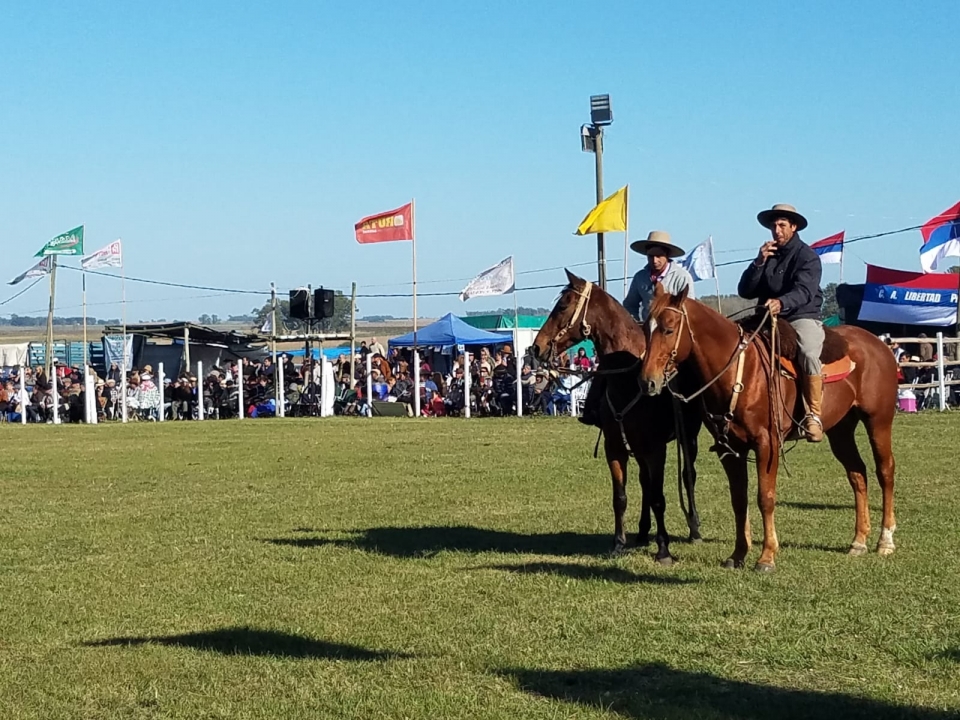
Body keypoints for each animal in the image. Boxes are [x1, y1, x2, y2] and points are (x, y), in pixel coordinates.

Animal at [528, 270, 700, 564]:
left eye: (563, 305)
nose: (536, 348)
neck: (628, 379)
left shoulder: (656, 449)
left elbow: (659, 497)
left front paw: (663, 549)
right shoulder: (616, 448)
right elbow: (621, 496)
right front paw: (619, 542)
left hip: (689, 438)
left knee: (688, 476)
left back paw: (694, 529)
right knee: (644, 483)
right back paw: (642, 532)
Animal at [640, 284, 896, 572]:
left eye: (668, 329)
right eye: (646, 328)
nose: (647, 381)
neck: (740, 371)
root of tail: (878, 344)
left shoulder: (767, 444)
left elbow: (766, 497)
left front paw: (767, 556)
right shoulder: (729, 450)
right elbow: (739, 500)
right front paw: (738, 554)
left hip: (878, 422)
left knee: (885, 471)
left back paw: (885, 540)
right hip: (841, 430)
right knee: (857, 474)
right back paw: (859, 541)